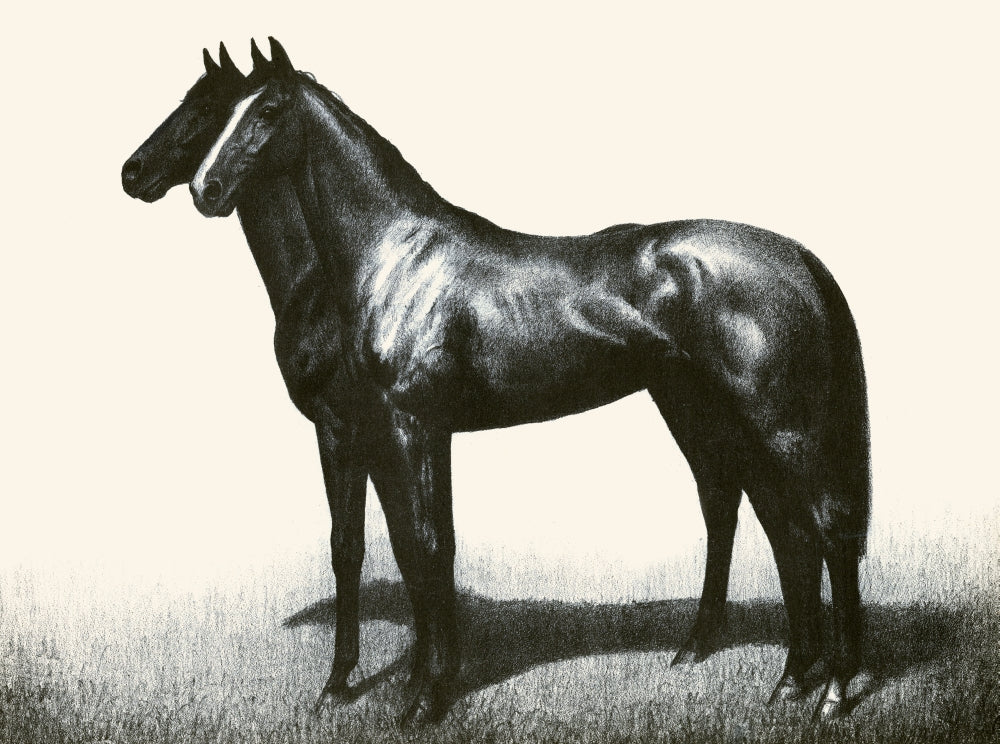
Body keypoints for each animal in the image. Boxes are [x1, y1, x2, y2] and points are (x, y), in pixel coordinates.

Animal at [188, 38, 871, 724]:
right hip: (713, 415)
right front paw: (416, 683)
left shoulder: (413, 427)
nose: (204, 187)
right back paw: (791, 678)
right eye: (224, 110)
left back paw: (835, 691)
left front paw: (424, 697)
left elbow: (424, 547)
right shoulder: (384, 432)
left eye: (268, 109)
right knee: (785, 531)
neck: (398, 260)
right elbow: (409, 549)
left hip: (785, 428)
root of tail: (798, 260)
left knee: (830, 529)